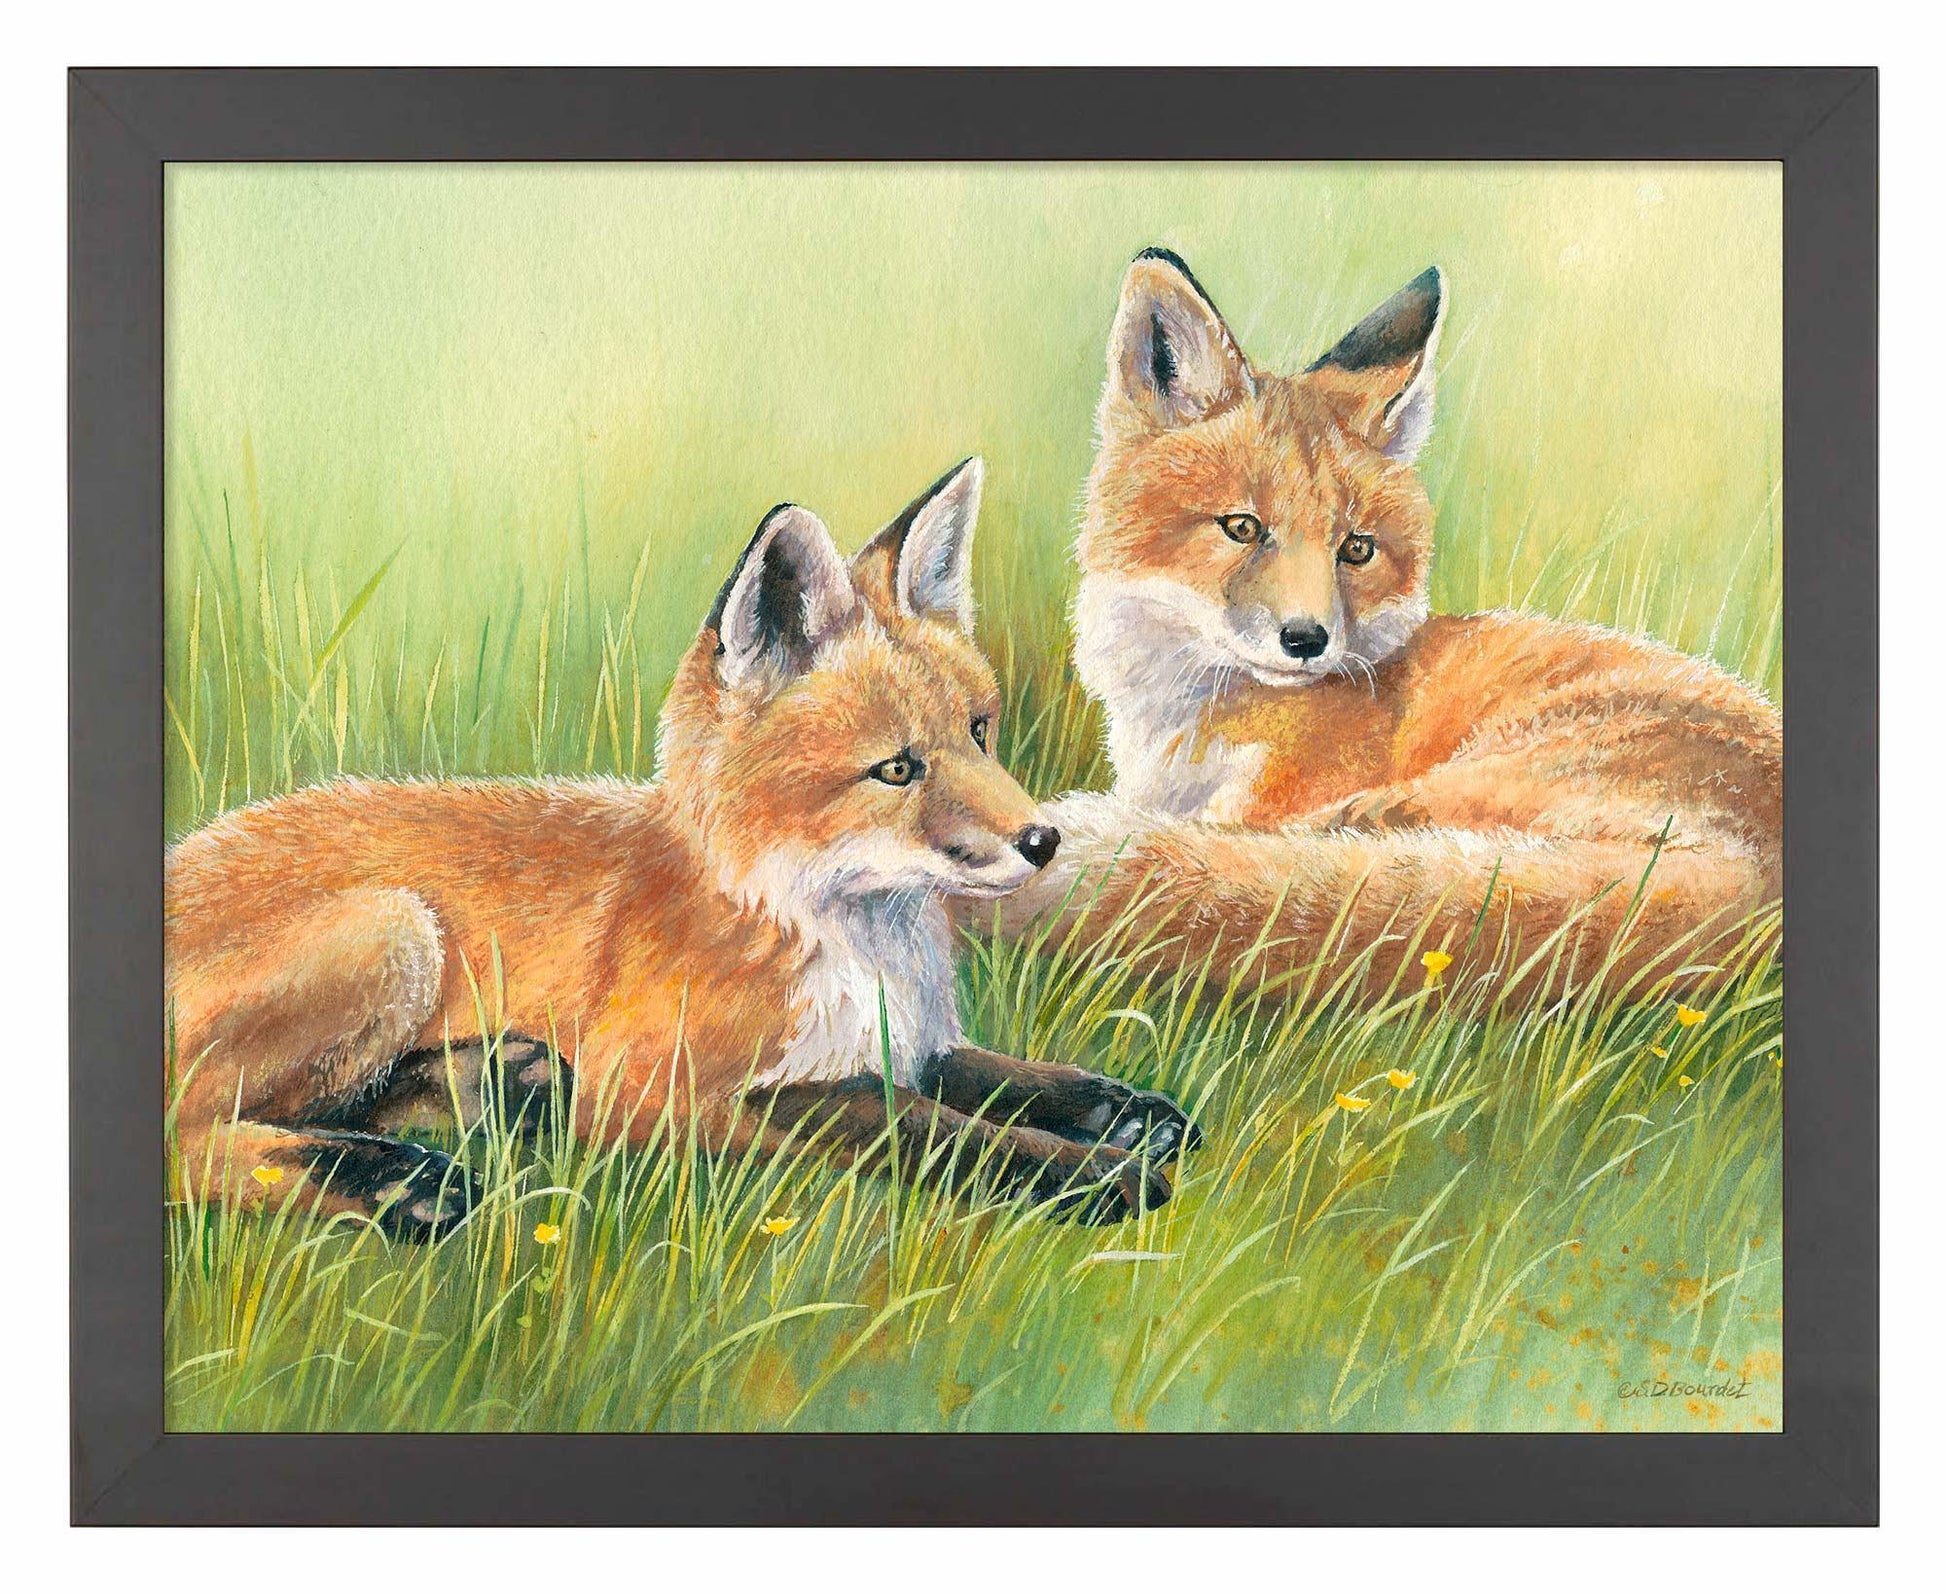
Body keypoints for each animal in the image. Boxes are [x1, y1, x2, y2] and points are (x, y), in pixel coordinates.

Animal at [165, 459, 1196, 1240]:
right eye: (898, 769)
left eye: (980, 732)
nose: (1043, 841)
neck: (833, 937)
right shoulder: (665, 1091)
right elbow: (913, 1122)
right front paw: (1097, 1174)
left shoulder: (905, 1040)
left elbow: (994, 1078)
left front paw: (1121, 1110)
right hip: (396, 930)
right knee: (190, 1135)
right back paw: (396, 1183)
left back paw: (484, 1088)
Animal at [992, 250, 1781, 997]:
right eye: (1242, 527)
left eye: (1356, 549)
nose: (1307, 641)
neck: (1191, 723)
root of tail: (1757, 884)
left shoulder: (1271, 798)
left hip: (1461, 781)